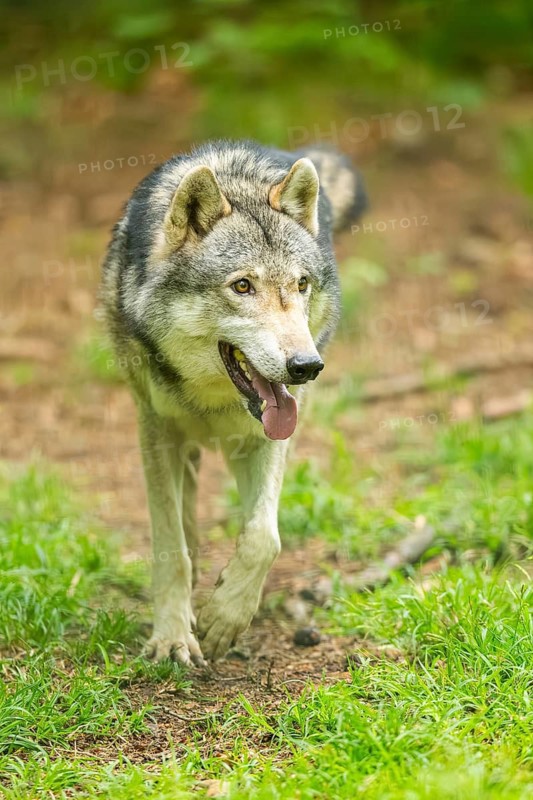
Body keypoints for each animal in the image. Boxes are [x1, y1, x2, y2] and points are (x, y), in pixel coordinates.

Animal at [100, 139, 366, 665]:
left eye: (301, 284)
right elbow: (171, 546)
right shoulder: (156, 430)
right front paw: (172, 636)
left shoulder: (265, 439)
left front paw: (226, 617)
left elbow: (263, 537)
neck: (213, 400)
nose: (306, 366)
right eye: (242, 285)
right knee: (186, 522)